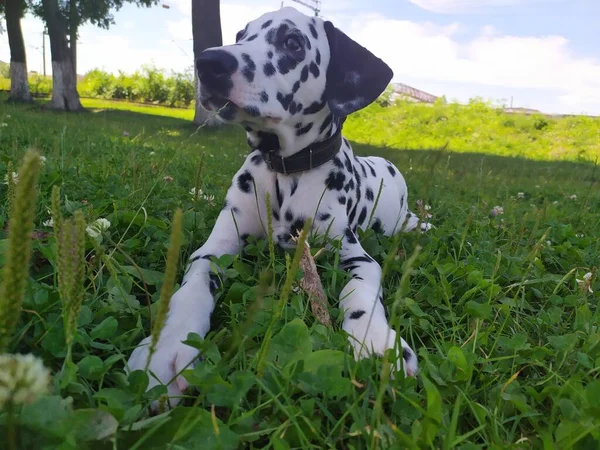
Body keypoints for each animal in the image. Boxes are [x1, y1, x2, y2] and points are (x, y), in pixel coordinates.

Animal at [129, 6, 432, 408]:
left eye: (292, 43)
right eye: (240, 36)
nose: (209, 63)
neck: (287, 173)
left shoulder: (356, 256)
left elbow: (360, 291)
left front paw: (376, 341)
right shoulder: (215, 248)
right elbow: (191, 287)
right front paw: (166, 346)